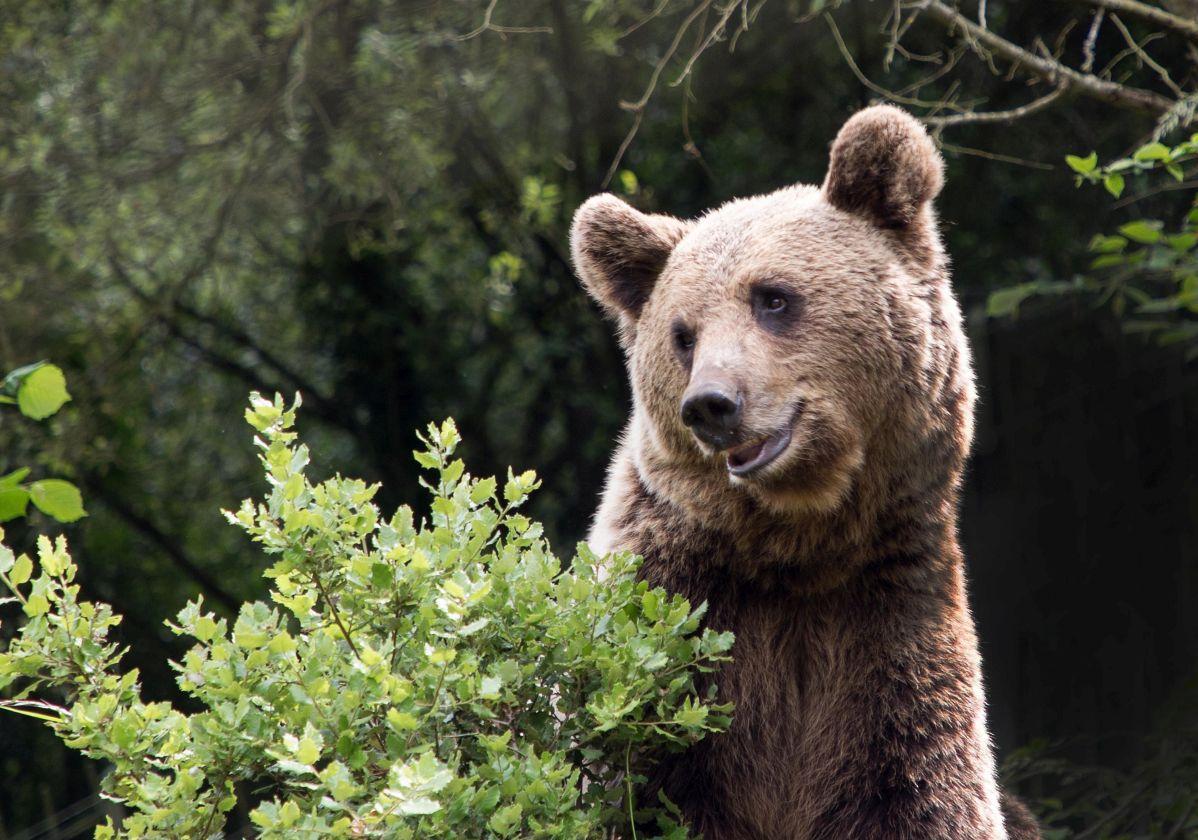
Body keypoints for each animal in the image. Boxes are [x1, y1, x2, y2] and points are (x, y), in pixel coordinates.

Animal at [570, 104, 1039, 838]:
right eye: (683, 334)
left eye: (773, 298)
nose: (711, 404)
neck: (799, 548)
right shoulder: (668, 630)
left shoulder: (888, 635)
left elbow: (924, 795)